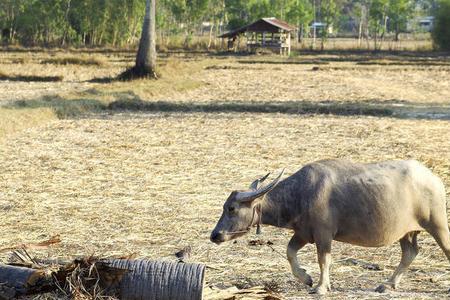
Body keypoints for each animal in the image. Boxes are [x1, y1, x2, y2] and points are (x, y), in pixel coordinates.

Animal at [212, 159, 450, 296]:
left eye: (231, 208)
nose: (215, 235)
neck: (301, 194)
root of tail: (434, 179)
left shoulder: (323, 234)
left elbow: (323, 259)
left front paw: (320, 286)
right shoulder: (303, 233)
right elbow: (290, 252)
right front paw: (306, 278)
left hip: (437, 224)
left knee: (444, 249)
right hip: (406, 232)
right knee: (410, 252)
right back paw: (387, 284)